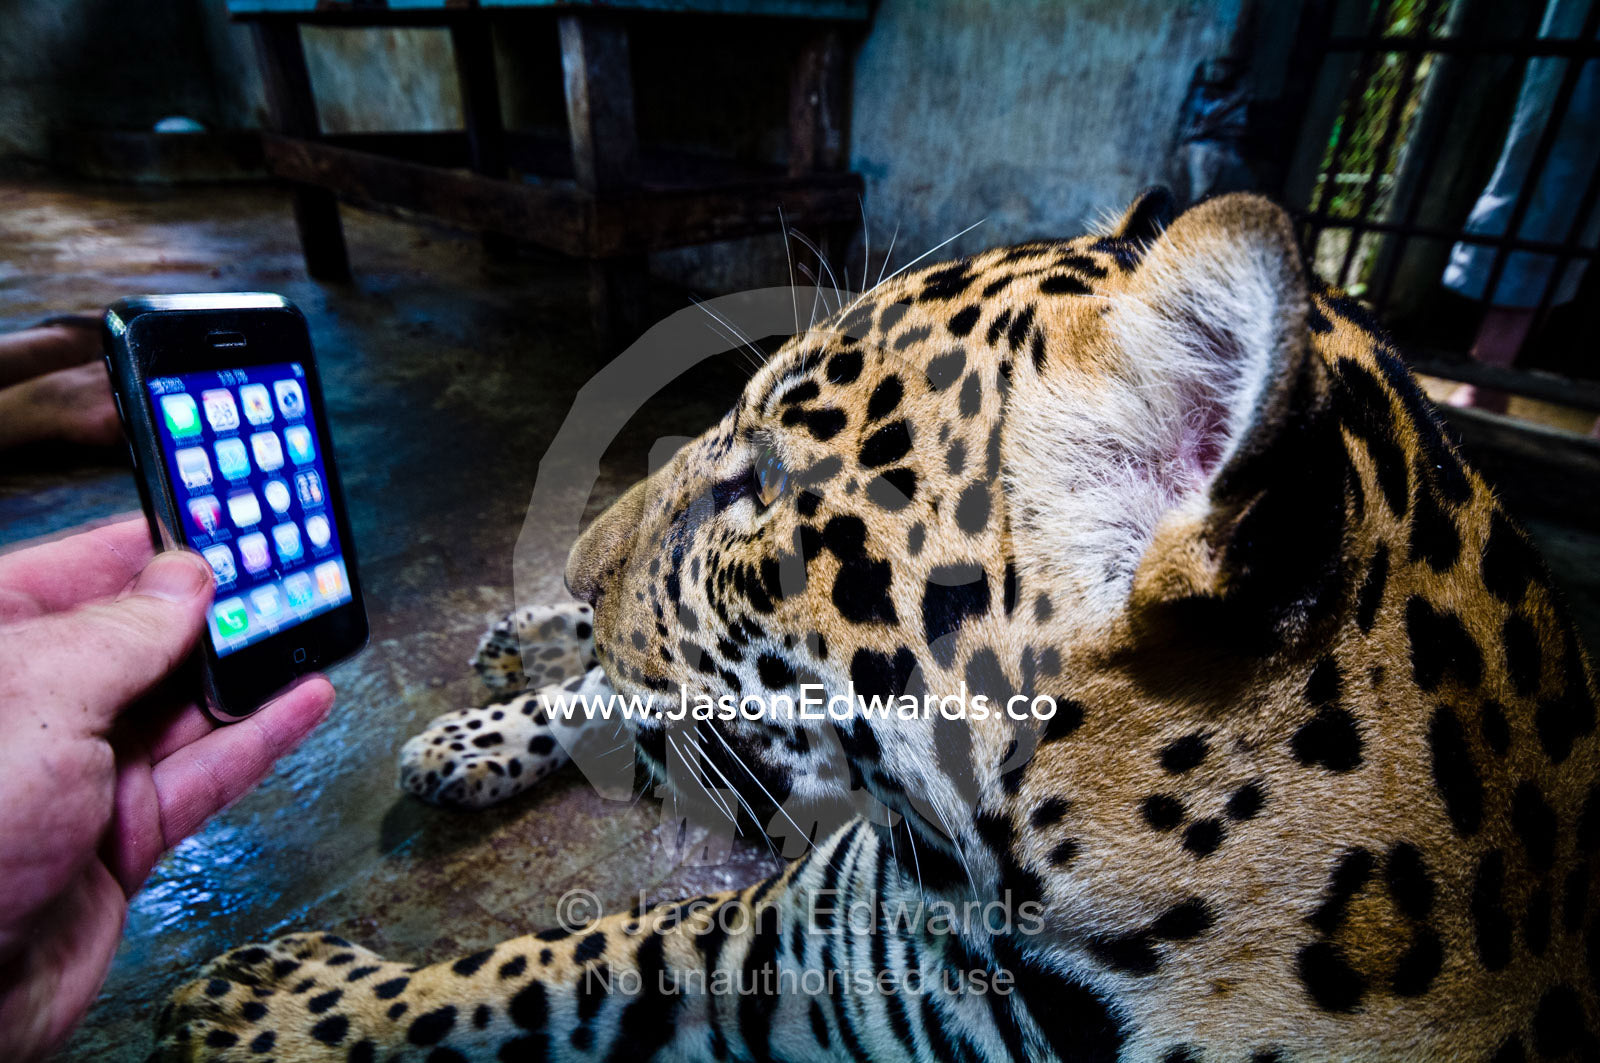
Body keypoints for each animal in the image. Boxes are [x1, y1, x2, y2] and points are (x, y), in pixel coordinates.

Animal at [154, 190, 1599, 1062]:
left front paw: (275, 998)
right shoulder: (798, 940)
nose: (583, 557)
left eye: (763, 487)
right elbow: (546, 954)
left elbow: (538, 967)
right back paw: (504, 676)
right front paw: (266, 993)